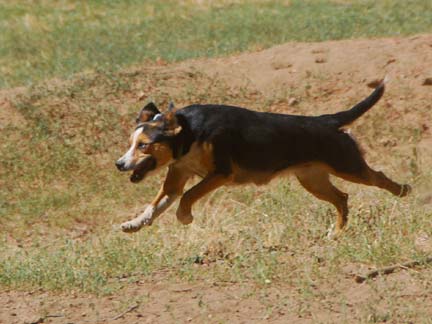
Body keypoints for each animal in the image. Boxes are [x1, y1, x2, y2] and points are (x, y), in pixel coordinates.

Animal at [116, 79, 410, 234]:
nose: (119, 164)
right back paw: (336, 232)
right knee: (342, 198)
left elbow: (189, 195)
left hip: (348, 166)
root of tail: (326, 120)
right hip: (312, 180)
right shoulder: (176, 178)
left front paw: (184, 216)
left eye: (144, 146)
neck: (190, 133)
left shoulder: (221, 173)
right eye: (130, 144)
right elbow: (155, 205)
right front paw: (134, 223)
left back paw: (403, 191)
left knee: (378, 178)